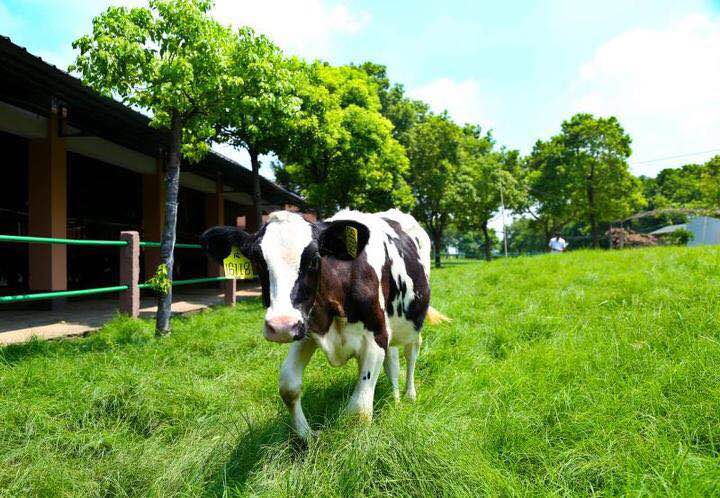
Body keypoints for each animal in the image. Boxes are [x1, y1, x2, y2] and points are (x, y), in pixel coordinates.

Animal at [202, 208, 448, 438]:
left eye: (314, 259)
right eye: (258, 261)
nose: (281, 326)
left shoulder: (376, 335)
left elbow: (359, 411)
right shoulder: (305, 328)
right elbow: (288, 385)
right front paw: (306, 437)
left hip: (412, 323)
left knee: (411, 353)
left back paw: (409, 395)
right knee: (393, 362)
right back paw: (395, 399)